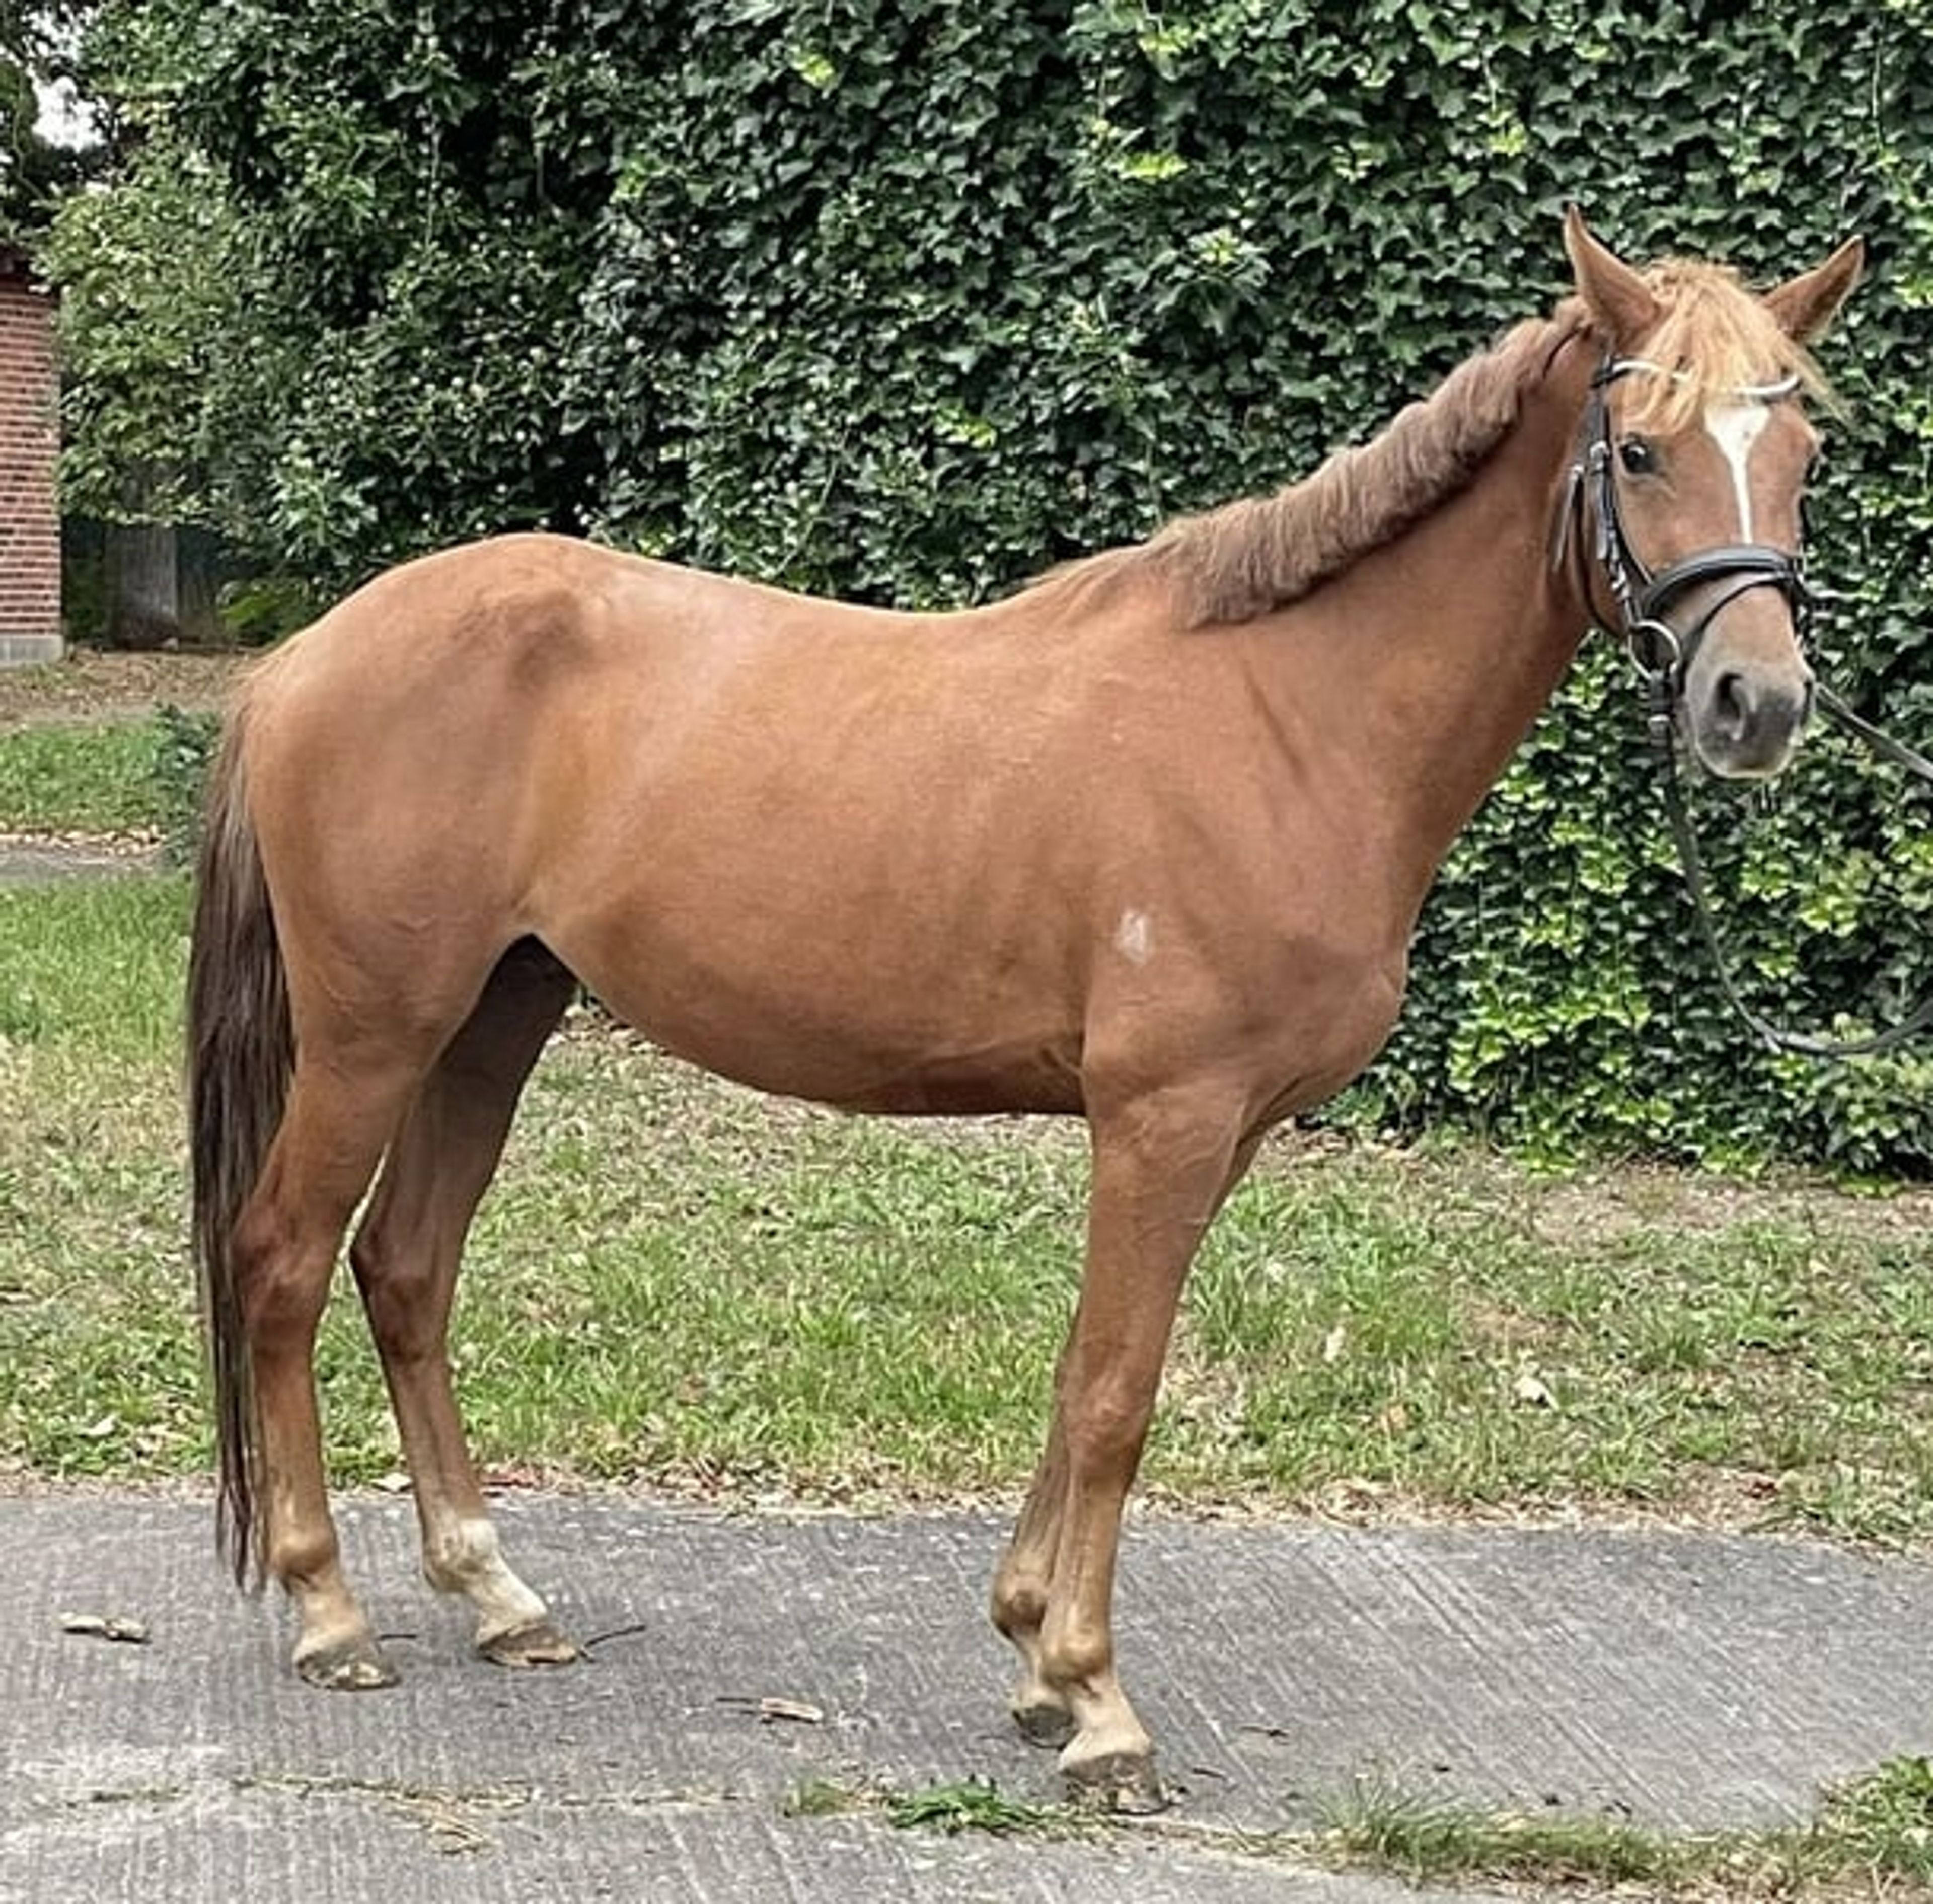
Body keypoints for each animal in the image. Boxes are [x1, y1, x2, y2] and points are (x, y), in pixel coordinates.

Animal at [187, 210, 1863, 1813]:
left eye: (1801, 458)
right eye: (1638, 449)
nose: (1756, 704)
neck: (1291, 719)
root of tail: (305, 656)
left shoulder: (1212, 1135)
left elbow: (1079, 1373)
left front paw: (1035, 1657)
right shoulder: (1164, 1118)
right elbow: (1119, 1392)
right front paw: (1100, 1706)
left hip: (495, 1015)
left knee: (406, 1269)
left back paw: (496, 1592)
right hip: (375, 1034)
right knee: (283, 1262)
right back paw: (330, 1610)